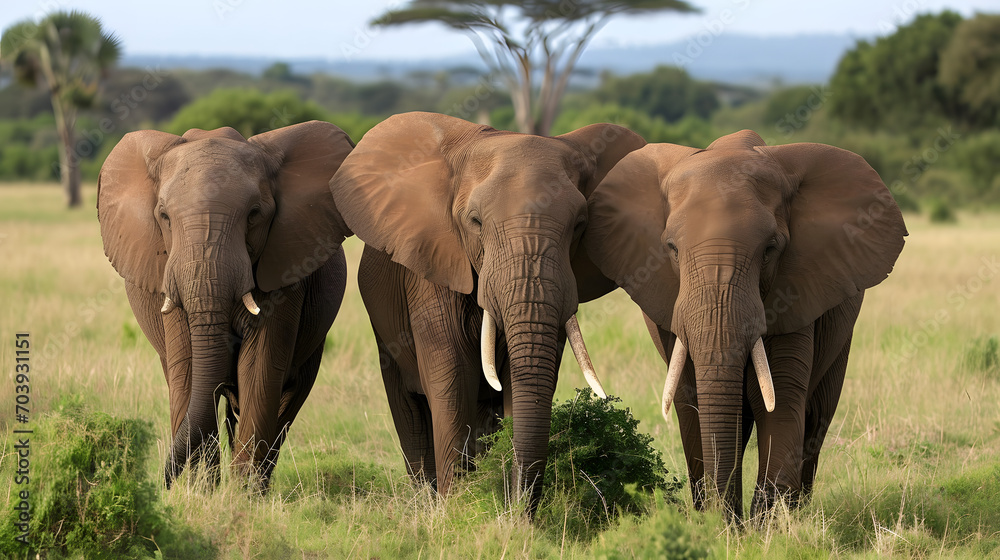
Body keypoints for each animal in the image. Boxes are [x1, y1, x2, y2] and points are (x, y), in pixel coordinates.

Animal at [98, 120, 354, 489]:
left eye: (254, 214)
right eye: (164, 216)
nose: (161, 484)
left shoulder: (285, 273)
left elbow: (260, 367)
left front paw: (240, 496)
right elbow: (189, 369)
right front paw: (200, 492)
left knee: (285, 403)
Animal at [327, 111, 646, 512]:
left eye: (580, 225)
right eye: (475, 222)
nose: (520, 514)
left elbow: (519, 382)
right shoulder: (433, 266)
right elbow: (452, 379)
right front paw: (455, 510)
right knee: (410, 411)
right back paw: (426, 500)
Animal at [581, 130, 906, 521]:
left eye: (770, 249)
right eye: (672, 248)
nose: (726, 522)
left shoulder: (796, 289)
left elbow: (781, 400)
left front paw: (767, 527)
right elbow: (692, 399)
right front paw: (721, 524)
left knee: (818, 414)